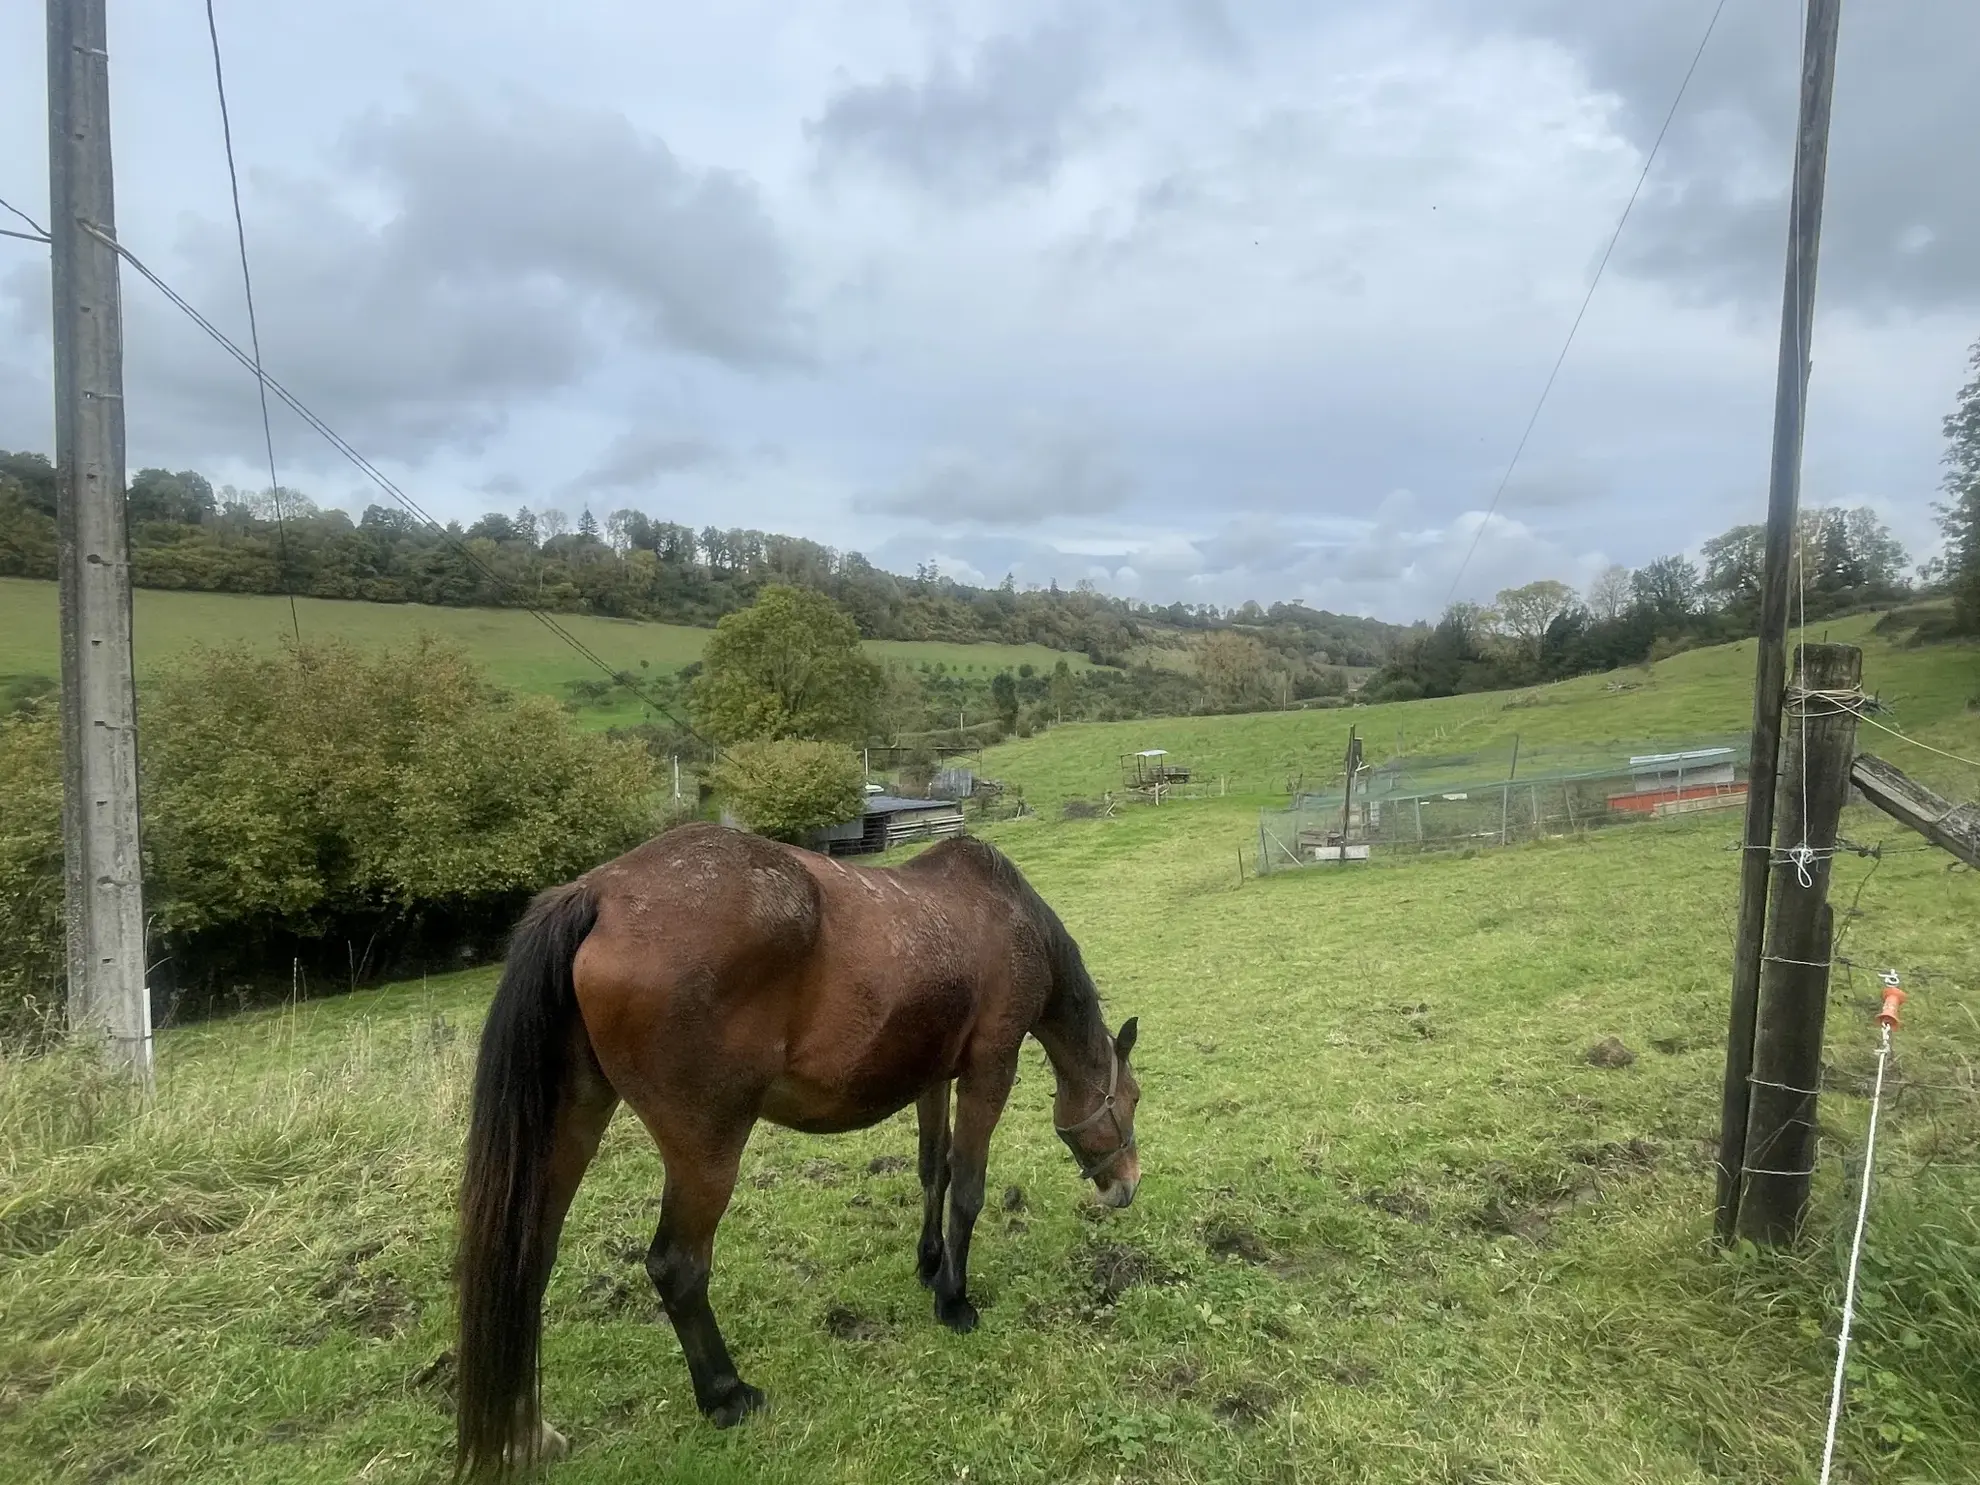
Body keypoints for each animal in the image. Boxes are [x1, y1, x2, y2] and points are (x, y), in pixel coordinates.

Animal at [453, 827, 1148, 1481]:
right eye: (1132, 1099)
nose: (1127, 1186)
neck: (1002, 913)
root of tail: (599, 893)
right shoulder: (989, 1071)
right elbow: (969, 1190)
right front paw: (954, 1299)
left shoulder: (934, 1077)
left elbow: (934, 1171)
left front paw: (930, 1264)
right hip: (706, 1150)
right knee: (677, 1266)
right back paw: (726, 1394)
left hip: (574, 1121)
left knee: (528, 1261)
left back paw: (528, 1434)